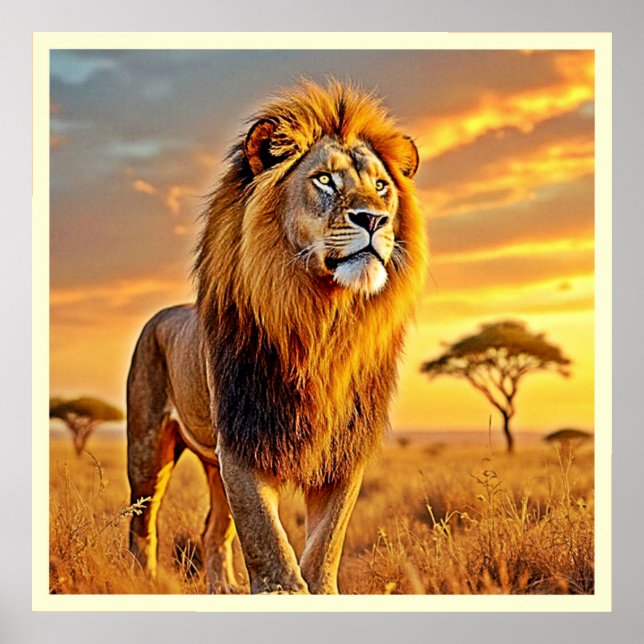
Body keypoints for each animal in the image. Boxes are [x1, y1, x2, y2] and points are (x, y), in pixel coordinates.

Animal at [126, 79, 428, 594]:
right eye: (325, 180)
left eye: (381, 186)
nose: (374, 219)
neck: (323, 323)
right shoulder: (243, 440)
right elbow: (267, 541)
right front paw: (283, 590)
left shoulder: (341, 450)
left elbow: (325, 543)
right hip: (148, 448)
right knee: (141, 523)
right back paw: (141, 582)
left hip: (213, 465)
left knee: (212, 531)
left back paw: (222, 588)